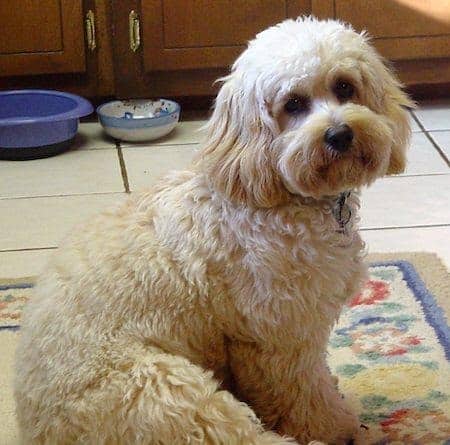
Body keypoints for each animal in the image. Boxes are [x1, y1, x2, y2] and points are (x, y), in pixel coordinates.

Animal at [15, 17, 414, 444]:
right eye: (293, 104)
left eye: (344, 86)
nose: (340, 135)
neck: (276, 196)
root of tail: (37, 429)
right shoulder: (280, 337)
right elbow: (305, 395)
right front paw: (335, 425)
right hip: (170, 393)